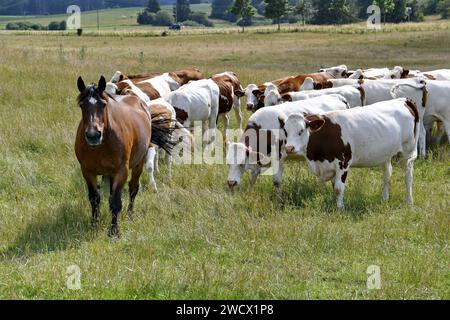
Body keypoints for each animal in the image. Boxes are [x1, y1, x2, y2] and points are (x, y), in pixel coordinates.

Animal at [74, 75, 173, 238]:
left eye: (103, 105)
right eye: (82, 105)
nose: (93, 135)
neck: (101, 145)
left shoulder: (121, 171)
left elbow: (116, 201)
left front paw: (114, 231)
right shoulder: (87, 171)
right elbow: (95, 198)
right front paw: (94, 224)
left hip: (138, 164)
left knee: (133, 189)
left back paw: (130, 214)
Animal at [284, 98, 420, 208]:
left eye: (301, 131)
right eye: (285, 131)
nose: (289, 148)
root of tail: (404, 100)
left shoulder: (343, 163)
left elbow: (338, 188)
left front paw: (340, 209)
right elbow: (334, 187)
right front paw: (335, 205)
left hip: (408, 150)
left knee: (408, 175)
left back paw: (409, 201)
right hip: (386, 154)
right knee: (387, 175)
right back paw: (384, 199)